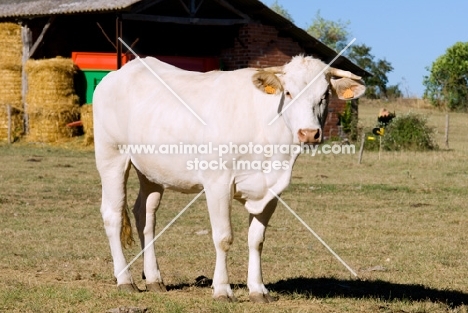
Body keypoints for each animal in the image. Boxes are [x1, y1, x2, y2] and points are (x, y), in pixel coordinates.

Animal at [94, 54, 366, 302]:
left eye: (325, 95)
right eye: (288, 93)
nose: (309, 133)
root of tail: (122, 71)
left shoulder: (271, 190)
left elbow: (257, 240)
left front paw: (258, 289)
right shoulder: (218, 183)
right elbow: (223, 238)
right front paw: (222, 290)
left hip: (151, 171)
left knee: (145, 216)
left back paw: (153, 279)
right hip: (111, 156)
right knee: (113, 214)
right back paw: (125, 280)